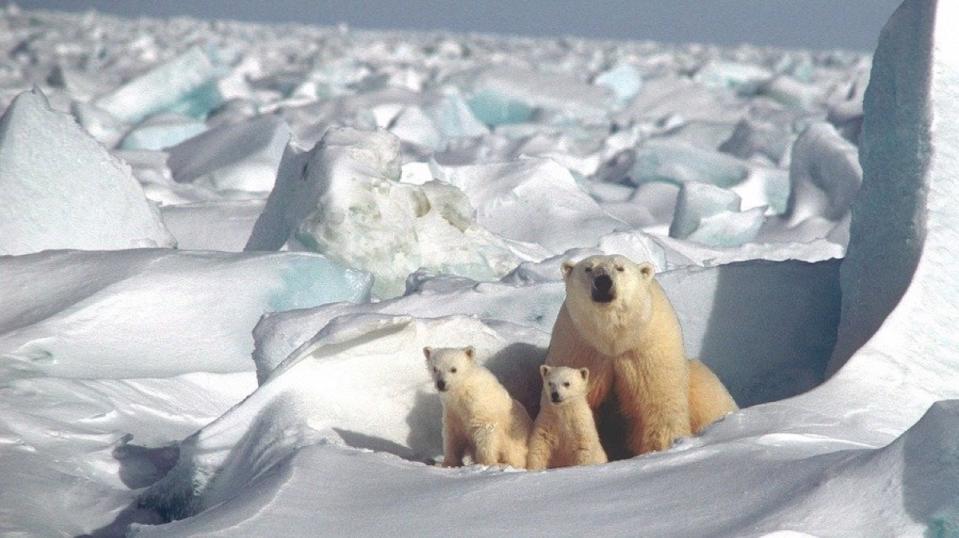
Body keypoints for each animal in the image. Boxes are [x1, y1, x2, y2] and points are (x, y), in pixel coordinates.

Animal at [544, 253, 740, 454]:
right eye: (588, 268)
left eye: (620, 268)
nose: (603, 282)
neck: (613, 340)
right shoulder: (581, 348)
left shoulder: (646, 350)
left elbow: (657, 406)